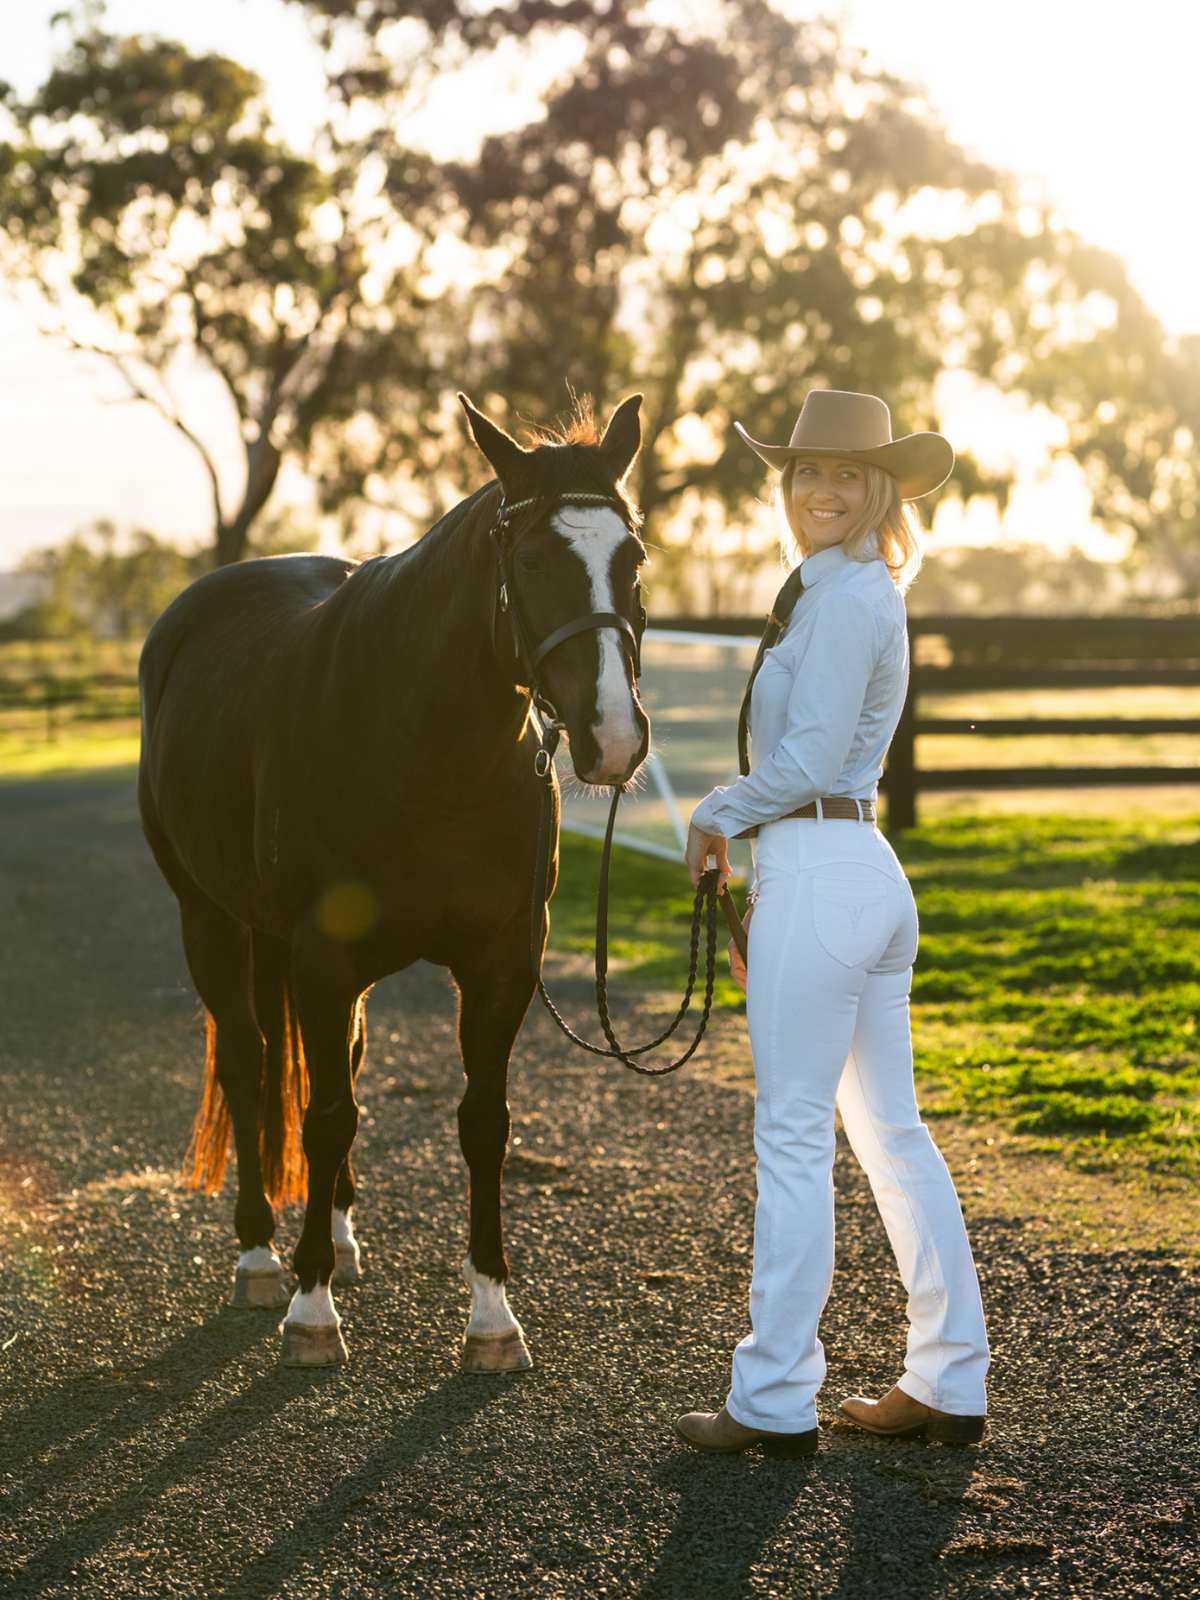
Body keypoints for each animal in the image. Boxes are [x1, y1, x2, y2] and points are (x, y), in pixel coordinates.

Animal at [137, 394, 649, 1368]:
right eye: (531, 560)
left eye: (632, 559)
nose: (614, 738)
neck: (424, 746)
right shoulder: (322, 957)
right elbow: (324, 1113)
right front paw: (311, 1312)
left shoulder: (502, 961)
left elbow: (480, 1122)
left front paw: (491, 1317)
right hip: (208, 920)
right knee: (252, 1065)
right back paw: (263, 1256)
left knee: (335, 1066)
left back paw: (334, 1238)